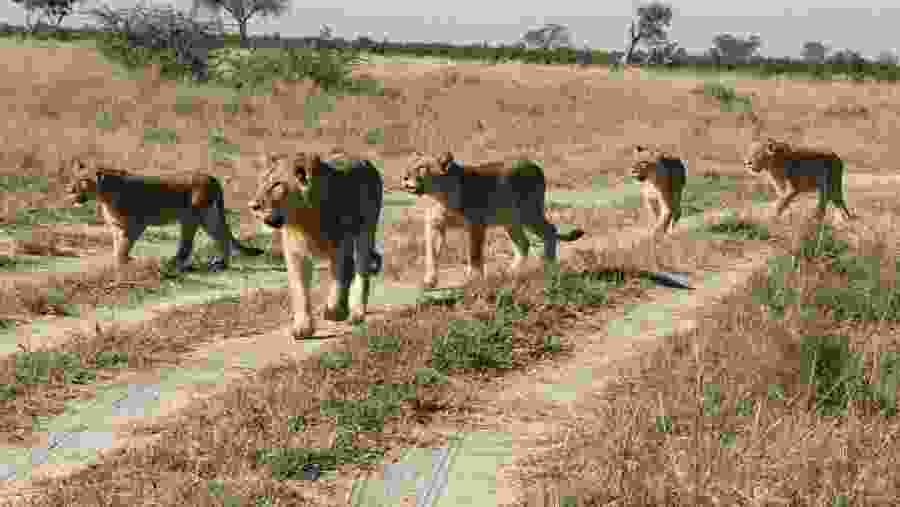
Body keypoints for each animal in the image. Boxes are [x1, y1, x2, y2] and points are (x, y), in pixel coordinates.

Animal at [66, 158, 264, 272]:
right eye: (73, 178)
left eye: (84, 181)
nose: (69, 190)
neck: (104, 195)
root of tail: (212, 177)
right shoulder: (117, 226)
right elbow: (118, 245)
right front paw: (118, 263)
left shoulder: (137, 224)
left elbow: (124, 246)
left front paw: (124, 263)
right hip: (208, 216)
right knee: (222, 236)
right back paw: (221, 264)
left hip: (193, 215)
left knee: (188, 245)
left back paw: (174, 264)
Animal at [248, 151, 383, 340]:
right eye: (261, 183)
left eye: (276, 185)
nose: (253, 206)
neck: (303, 220)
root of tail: (363, 160)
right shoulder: (295, 254)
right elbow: (300, 290)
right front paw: (303, 328)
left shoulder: (341, 245)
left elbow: (341, 276)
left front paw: (335, 311)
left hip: (366, 232)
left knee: (361, 271)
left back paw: (356, 314)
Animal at [401, 151, 586, 289]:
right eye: (409, 166)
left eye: (422, 168)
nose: (405, 177)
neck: (437, 197)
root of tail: (534, 165)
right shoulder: (435, 225)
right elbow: (432, 254)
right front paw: (430, 280)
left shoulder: (475, 224)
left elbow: (474, 253)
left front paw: (474, 278)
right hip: (510, 220)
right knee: (524, 243)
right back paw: (511, 272)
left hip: (529, 213)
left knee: (549, 231)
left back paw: (548, 265)